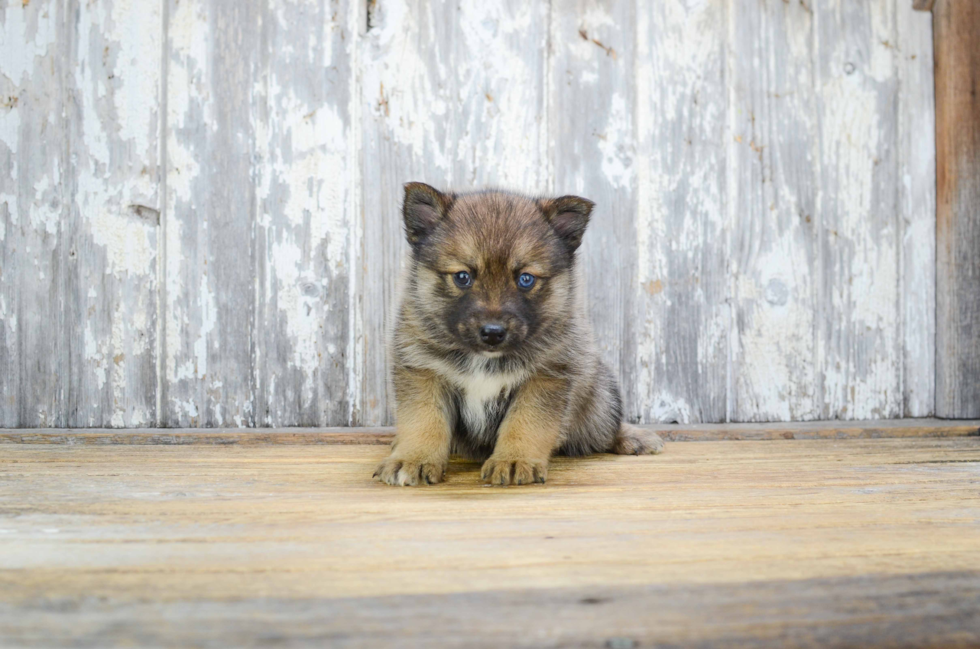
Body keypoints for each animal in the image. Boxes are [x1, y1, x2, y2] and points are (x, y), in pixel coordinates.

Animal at [372, 182, 664, 486]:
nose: (492, 333)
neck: (483, 358)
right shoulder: (423, 372)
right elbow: (424, 421)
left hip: (601, 397)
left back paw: (631, 437)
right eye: (463, 277)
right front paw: (413, 459)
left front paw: (513, 460)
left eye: (526, 279)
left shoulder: (546, 378)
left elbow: (525, 424)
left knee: (605, 427)